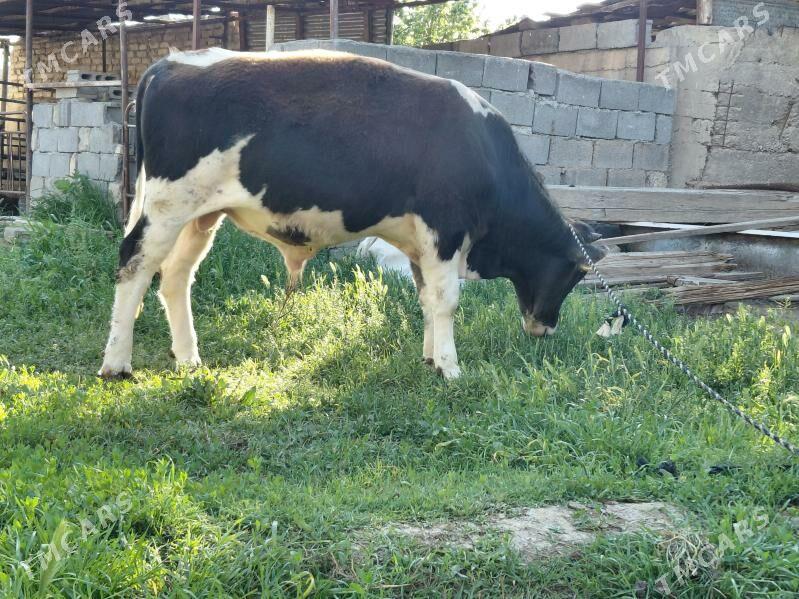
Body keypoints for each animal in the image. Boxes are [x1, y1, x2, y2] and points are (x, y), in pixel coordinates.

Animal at [99, 47, 605, 380]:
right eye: (575, 274)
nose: (545, 328)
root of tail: (172, 62)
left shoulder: (419, 243)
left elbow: (426, 298)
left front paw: (430, 358)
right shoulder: (444, 231)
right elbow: (447, 301)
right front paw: (451, 368)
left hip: (201, 213)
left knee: (175, 276)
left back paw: (189, 358)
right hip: (168, 204)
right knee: (134, 264)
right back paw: (116, 363)